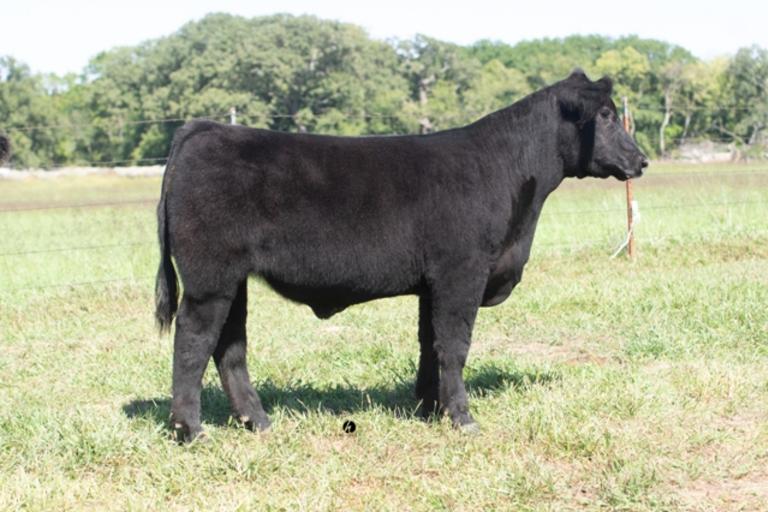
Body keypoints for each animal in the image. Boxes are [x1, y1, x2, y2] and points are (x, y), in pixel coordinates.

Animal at [155, 70, 647, 442]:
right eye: (605, 116)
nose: (641, 161)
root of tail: (205, 129)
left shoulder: (433, 284)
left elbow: (430, 344)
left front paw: (429, 410)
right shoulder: (461, 272)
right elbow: (455, 345)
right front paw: (462, 418)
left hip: (233, 280)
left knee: (229, 348)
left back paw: (257, 422)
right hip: (209, 280)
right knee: (193, 342)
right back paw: (191, 431)